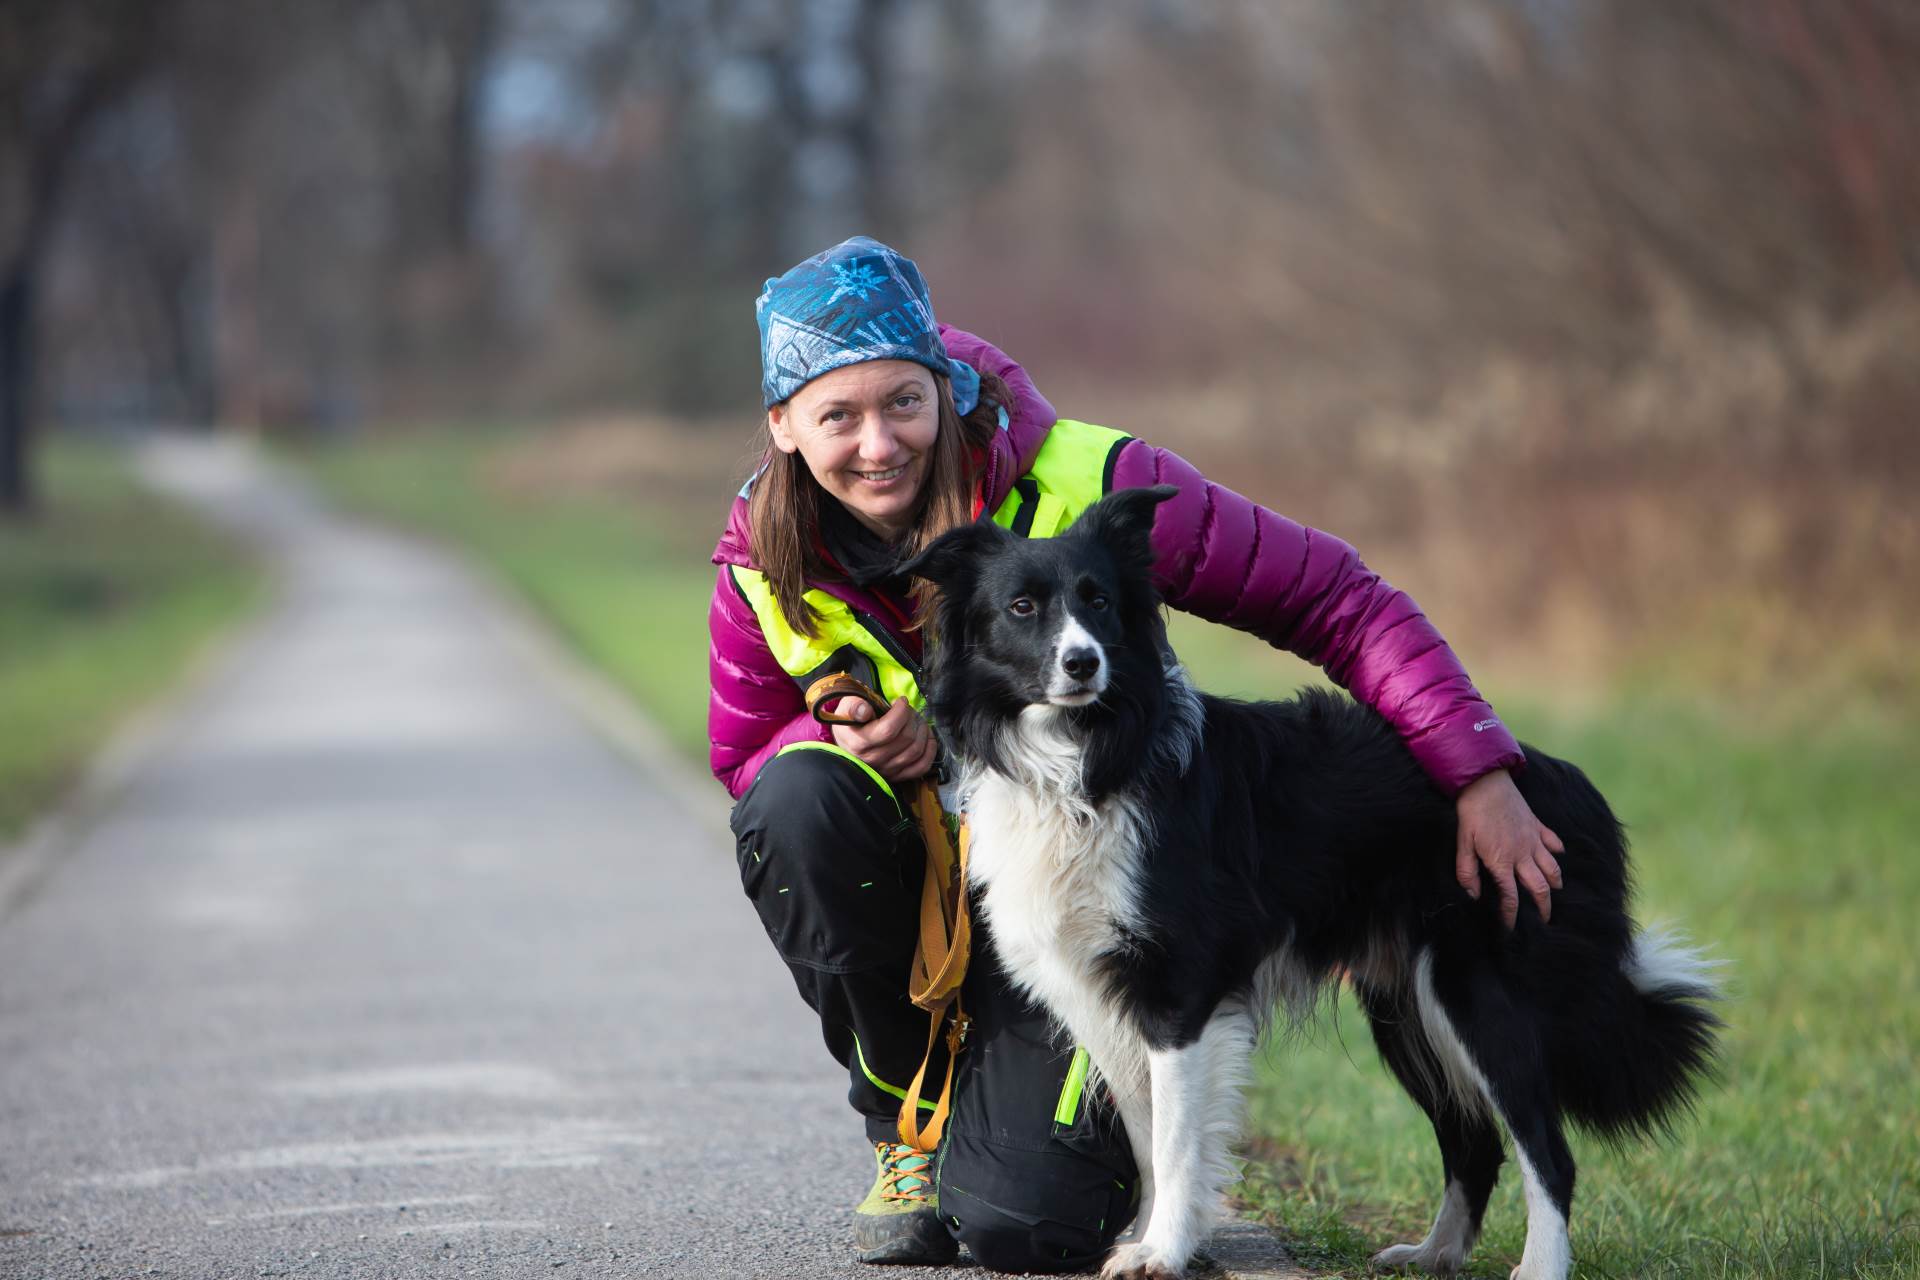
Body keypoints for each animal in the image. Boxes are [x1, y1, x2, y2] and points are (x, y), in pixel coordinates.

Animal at [898, 485, 1728, 1274]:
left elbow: (1174, 1139)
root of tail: (1562, 782)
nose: (1083, 663)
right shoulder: (1104, 992)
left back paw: (1539, 1267)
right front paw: (1150, 1240)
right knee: (1475, 1141)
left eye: (1098, 601)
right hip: (1406, 1007)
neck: (1081, 757)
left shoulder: (1181, 993)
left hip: (1478, 994)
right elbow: (1145, 1136)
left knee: (1546, 1152)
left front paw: (1163, 1251)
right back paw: (1432, 1255)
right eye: (1022, 607)